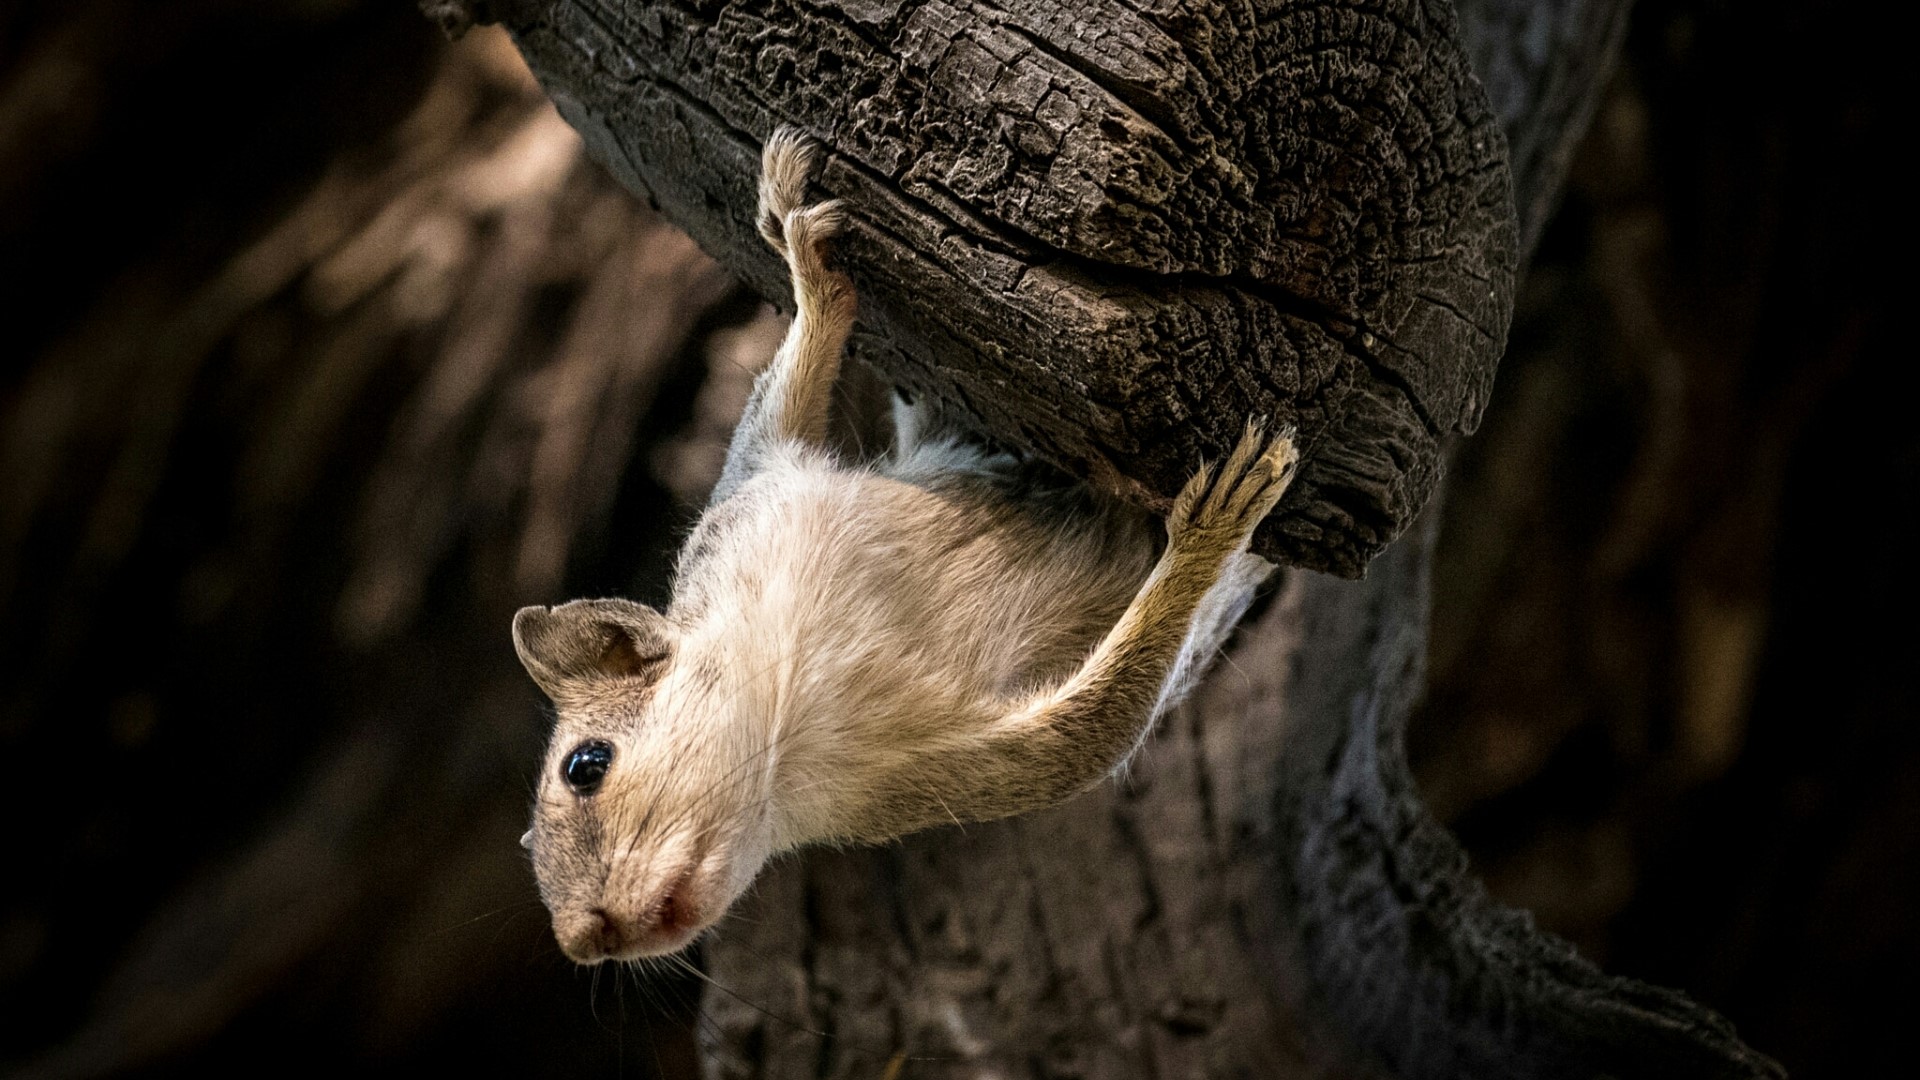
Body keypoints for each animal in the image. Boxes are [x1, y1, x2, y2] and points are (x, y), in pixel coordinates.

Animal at [511, 128, 1300, 963]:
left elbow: (786, 392)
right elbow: (1090, 729)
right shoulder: (946, 778)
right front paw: (1212, 539)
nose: (583, 942)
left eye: (585, 765)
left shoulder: (757, 497)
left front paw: (806, 260)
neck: (795, 708)